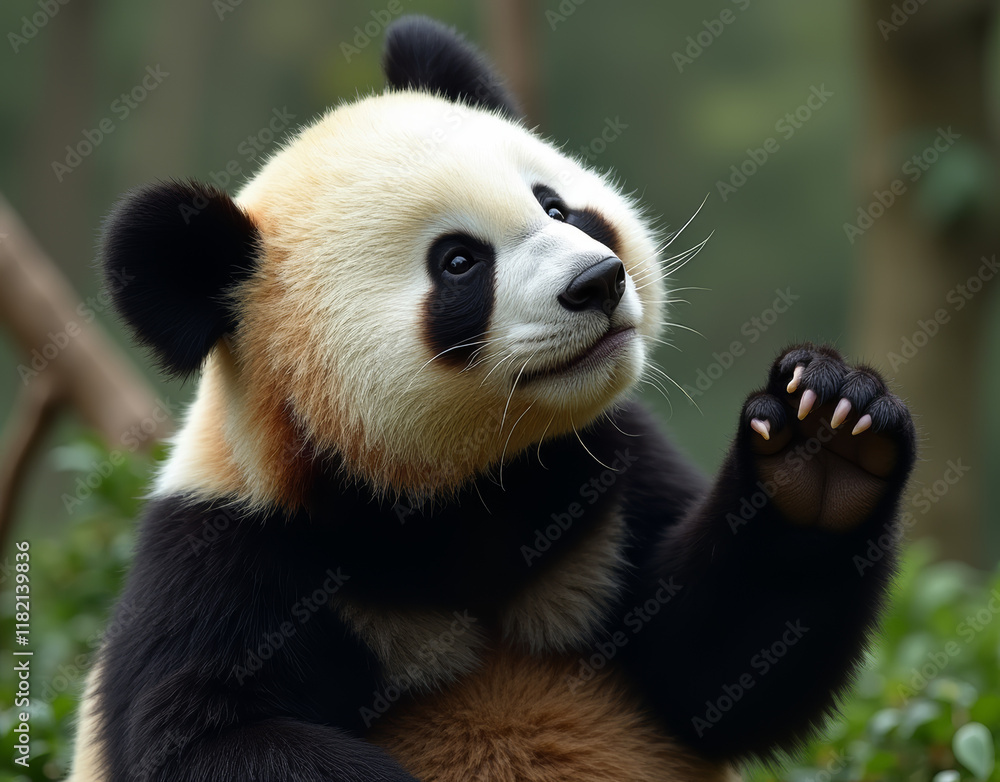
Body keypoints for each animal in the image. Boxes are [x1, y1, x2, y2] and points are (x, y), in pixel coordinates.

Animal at [68, 15, 915, 782]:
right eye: (458, 261)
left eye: (556, 206)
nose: (598, 282)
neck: (459, 490)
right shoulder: (234, 554)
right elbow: (201, 737)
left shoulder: (606, 479)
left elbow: (718, 668)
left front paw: (821, 445)